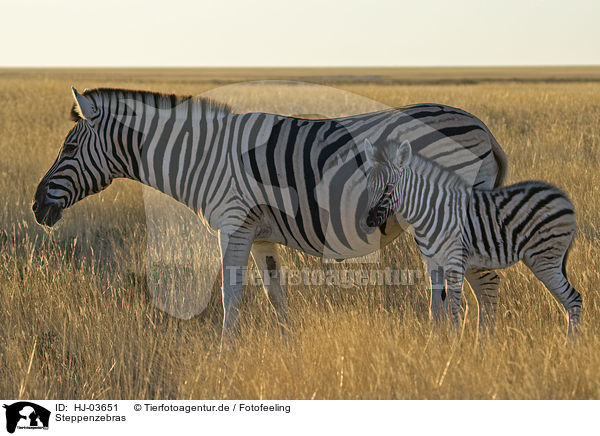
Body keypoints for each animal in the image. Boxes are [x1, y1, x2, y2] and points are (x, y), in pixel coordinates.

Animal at [32, 87, 506, 338]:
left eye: (69, 148)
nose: (37, 207)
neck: (203, 157)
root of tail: (483, 127)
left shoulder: (234, 225)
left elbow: (231, 294)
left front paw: (225, 354)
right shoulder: (259, 234)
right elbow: (274, 293)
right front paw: (289, 346)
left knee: (479, 283)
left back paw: (464, 349)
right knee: (463, 284)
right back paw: (457, 345)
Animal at [364, 138, 584, 336]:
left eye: (388, 187)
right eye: (369, 186)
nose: (368, 221)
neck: (432, 211)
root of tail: (564, 197)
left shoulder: (455, 261)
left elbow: (453, 309)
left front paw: (455, 344)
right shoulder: (433, 263)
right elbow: (435, 309)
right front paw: (435, 343)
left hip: (544, 259)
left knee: (574, 298)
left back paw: (572, 345)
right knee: (570, 301)